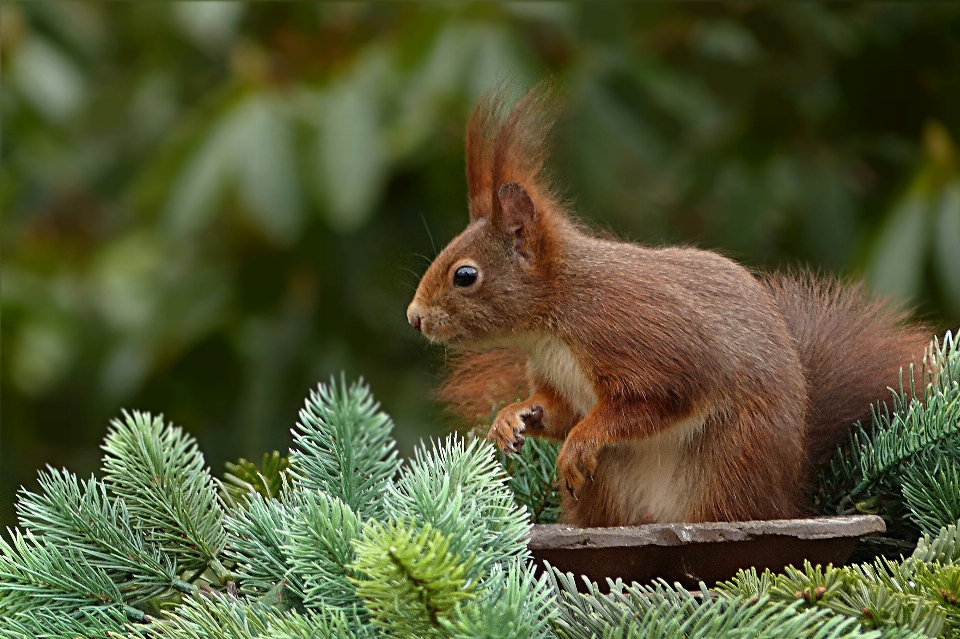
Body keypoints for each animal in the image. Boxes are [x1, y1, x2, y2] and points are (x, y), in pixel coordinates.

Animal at [404, 87, 928, 528]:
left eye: (465, 276)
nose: (414, 317)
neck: (558, 317)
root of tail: (786, 497)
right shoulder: (557, 377)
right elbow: (557, 411)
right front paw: (512, 418)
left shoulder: (636, 333)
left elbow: (658, 397)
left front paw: (582, 439)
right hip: (609, 490)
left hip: (731, 460)